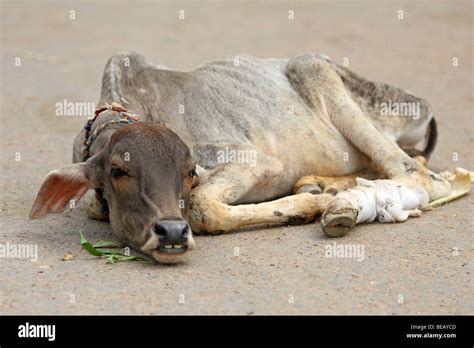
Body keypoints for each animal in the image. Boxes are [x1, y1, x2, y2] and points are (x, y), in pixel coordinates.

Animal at [28, 52, 470, 264]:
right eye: (119, 171)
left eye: (188, 170)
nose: (170, 233)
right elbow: (91, 205)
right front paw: (314, 197)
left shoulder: (254, 160)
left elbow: (203, 207)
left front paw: (309, 208)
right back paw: (324, 187)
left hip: (315, 70)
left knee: (419, 176)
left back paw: (342, 206)